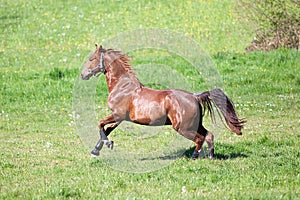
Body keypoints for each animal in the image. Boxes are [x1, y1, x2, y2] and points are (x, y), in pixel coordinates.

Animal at [81, 44, 245, 159]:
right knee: (209, 135)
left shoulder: (117, 115)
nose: (83, 75)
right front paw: (96, 150)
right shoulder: (120, 118)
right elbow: (106, 130)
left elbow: (101, 125)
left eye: (91, 59)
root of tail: (195, 96)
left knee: (200, 139)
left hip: (182, 127)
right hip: (195, 124)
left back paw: (194, 157)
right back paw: (210, 156)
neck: (122, 86)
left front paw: (106, 145)